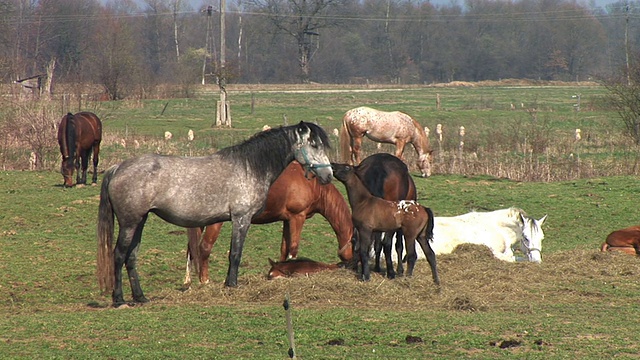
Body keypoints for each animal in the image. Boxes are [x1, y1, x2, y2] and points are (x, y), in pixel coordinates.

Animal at [99, 121, 336, 306]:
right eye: (314, 144)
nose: (328, 175)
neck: (249, 168)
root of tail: (117, 167)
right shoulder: (241, 219)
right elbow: (235, 254)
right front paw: (231, 285)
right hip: (129, 223)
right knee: (118, 255)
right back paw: (119, 299)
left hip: (140, 221)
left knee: (131, 257)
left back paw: (140, 297)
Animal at [184, 162, 356, 286]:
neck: (312, 184)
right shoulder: (297, 218)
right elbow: (293, 250)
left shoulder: (287, 220)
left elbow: (284, 250)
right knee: (204, 247)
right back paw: (205, 281)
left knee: (191, 249)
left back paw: (188, 281)